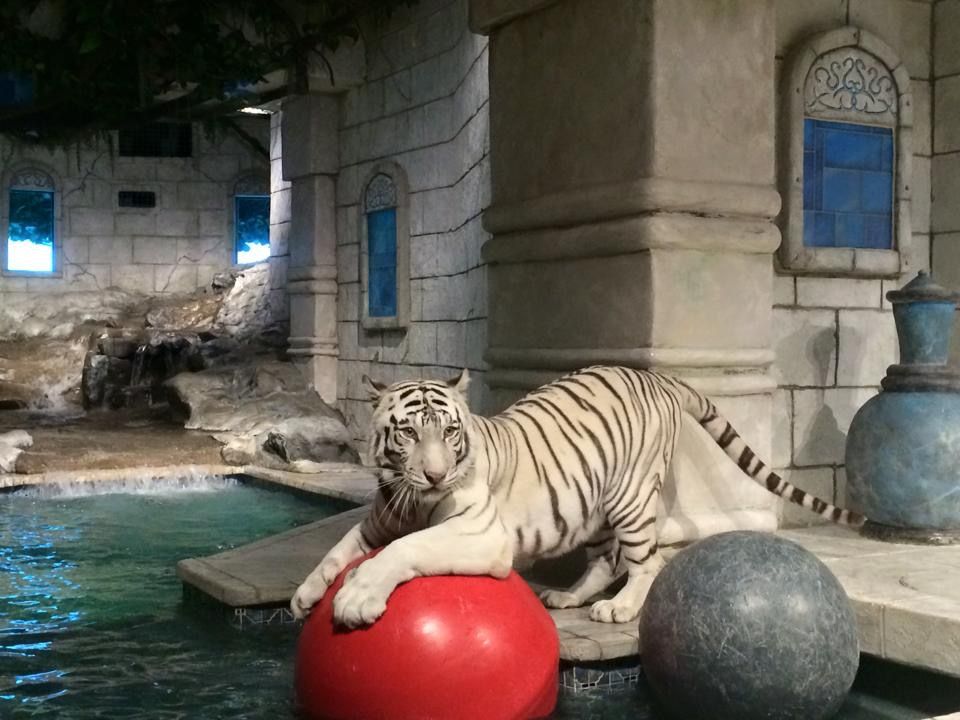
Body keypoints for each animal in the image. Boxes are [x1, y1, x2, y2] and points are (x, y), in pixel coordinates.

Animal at [290, 365, 864, 628]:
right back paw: (568, 597)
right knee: (606, 559)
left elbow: (405, 549)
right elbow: (336, 552)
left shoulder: (480, 535)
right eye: (408, 433)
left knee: (645, 562)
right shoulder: (376, 521)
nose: (435, 475)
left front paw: (357, 598)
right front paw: (305, 594)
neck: (411, 497)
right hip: (593, 504)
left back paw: (620, 609)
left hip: (632, 498)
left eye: (450, 432)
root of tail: (655, 375)